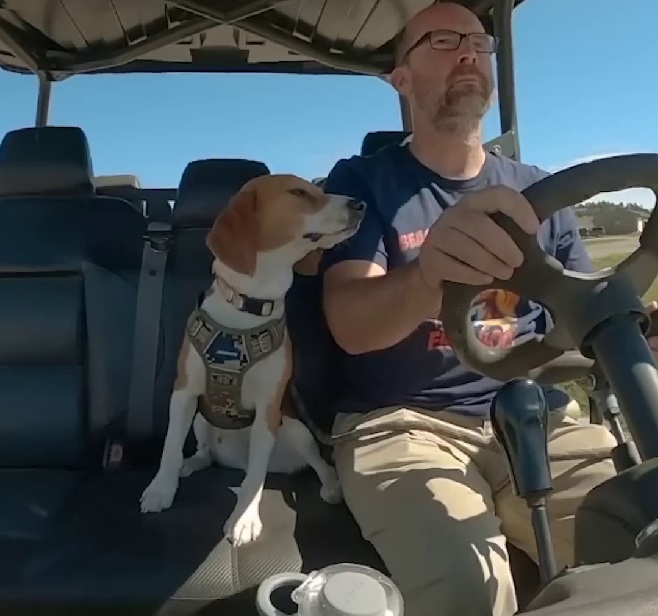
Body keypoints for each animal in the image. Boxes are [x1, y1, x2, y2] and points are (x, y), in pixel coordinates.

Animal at [140, 173, 364, 544]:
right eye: (299, 192)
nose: (359, 203)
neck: (248, 306)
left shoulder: (268, 406)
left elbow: (255, 479)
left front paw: (244, 519)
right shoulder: (184, 393)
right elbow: (170, 447)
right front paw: (161, 490)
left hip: (295, 429)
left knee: (317, 465)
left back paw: (331, 487)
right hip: (201, 419)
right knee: (206, 453)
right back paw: (193, 463)